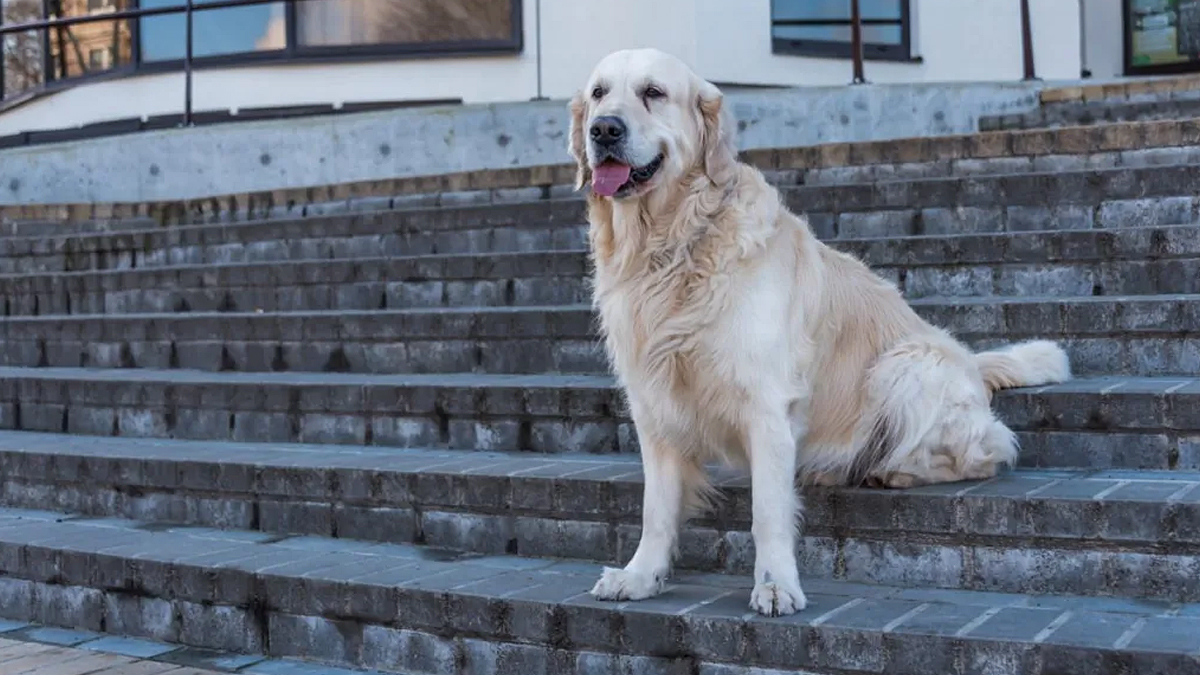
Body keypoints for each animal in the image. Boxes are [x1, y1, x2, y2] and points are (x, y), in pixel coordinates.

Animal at [566, 47, 1075, 614]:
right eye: (598, 94)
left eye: (653, 93)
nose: (604, 129)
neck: (669, 246)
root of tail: (967, 357)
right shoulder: (654, 402)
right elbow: (656, 508)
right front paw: (641, 576)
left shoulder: (766, 402)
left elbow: (767, 510)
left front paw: (775, 584)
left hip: (904, 366)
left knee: (990, 450)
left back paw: (891, 468)